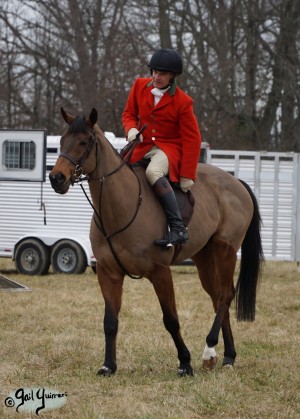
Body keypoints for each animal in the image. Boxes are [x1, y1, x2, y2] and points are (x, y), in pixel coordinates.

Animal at [48, 108, 262, 378]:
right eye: (63, 141)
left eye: (84, 142)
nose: (56, 178)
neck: (122, 205)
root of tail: (236, 183)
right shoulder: (108, 273)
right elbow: (110, 321)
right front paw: (108, 365)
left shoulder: (160, 272)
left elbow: (170, 319)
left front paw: (184, 363)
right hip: (205, 258)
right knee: (217, 298)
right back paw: (227, 356)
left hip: (226, 251)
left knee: (225, 295)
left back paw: (209, 348)